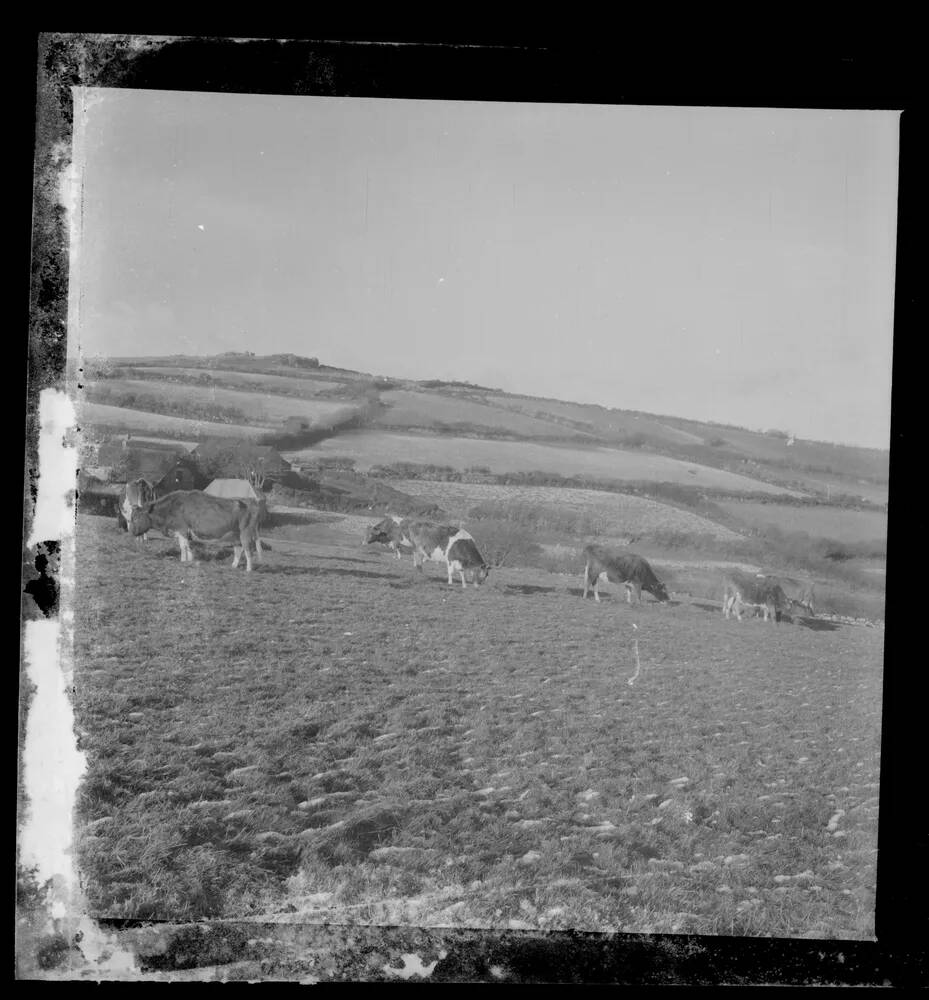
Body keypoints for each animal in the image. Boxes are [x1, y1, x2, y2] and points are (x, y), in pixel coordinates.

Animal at [129, 490, 262, 572]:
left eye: (136, 518)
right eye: (131, 517)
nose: (131, 532)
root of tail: (251, 501)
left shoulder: (181, 530)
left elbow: (183, 547)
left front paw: (183, 560)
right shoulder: (185, 533)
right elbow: (188, 546)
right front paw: (190, 560)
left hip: (246, 534)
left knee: (248, 550)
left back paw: (248, 570)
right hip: (235, 536)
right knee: (238, 549)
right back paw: (233, 566)